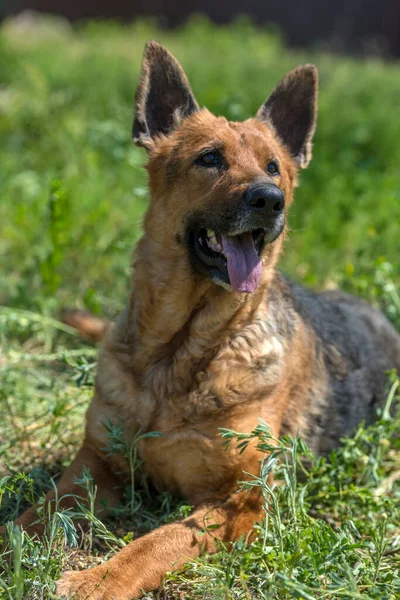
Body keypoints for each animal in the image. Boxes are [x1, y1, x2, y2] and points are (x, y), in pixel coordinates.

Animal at [7, 42, 400, 600]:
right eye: (209, 158)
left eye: (274, 167)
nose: (269, 200)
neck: (177, 356)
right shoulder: (94, 467)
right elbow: (33, 517)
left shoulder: (236, 501)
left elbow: (153, 543)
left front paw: (97, 580)